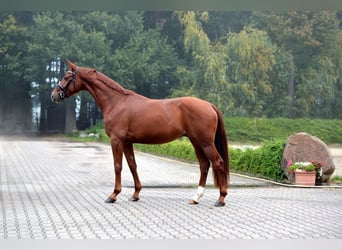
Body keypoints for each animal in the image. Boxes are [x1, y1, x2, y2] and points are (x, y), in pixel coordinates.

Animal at [50, 60, 230, 207]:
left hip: (205, 142)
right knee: (204, 165)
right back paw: (196, 198)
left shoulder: (116, 140)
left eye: (66, 77)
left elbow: (118, 166)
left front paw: (113, 195)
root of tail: (209, 105)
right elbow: (132, 165)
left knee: (218, 163)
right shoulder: (127, 141)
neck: (116, 102)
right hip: (195, 141)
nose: (54, 96)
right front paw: (135, 194)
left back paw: (221, 199)